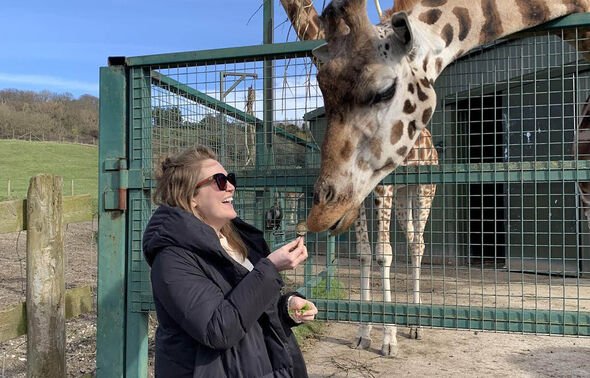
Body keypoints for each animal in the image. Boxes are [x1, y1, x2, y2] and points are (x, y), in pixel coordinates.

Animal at [282, 0, 440, 356]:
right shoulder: (358, 196)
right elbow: (366, 254)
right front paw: (363, 333)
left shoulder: (382, 187)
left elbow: (384, 254)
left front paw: (388, 339)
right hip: (405, 195)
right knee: (413, 239)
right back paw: (411, 322)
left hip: (425, 189)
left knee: (419, 243)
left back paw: (417, 326)